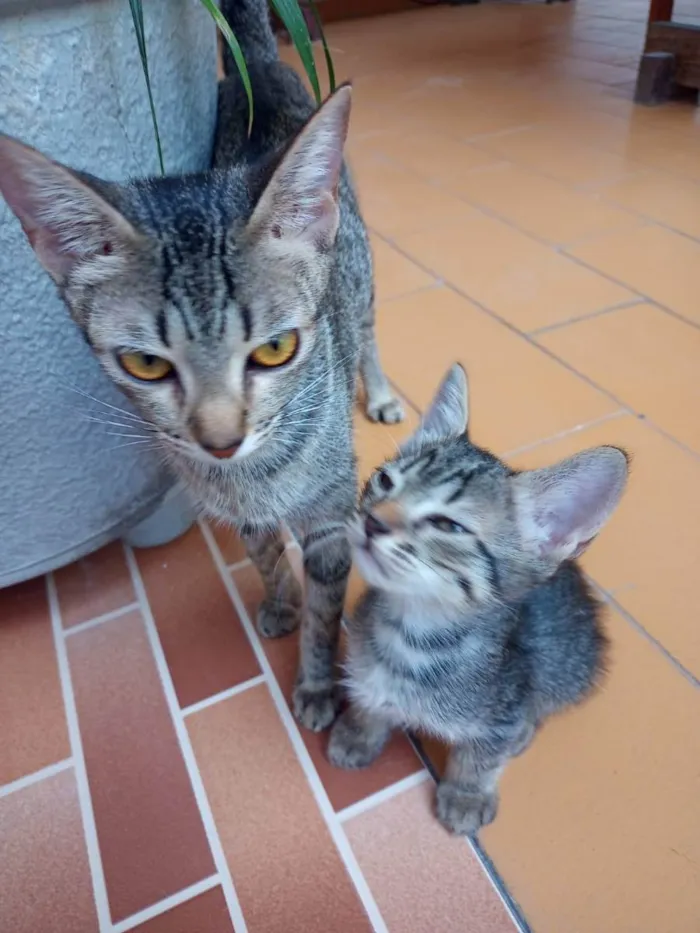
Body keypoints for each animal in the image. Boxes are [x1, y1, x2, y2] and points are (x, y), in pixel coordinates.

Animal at [0, 0, 402, 728]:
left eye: (275, 350)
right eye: (145, 364)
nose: (220, 441)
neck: (254, 475)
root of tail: (259, 63)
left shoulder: (332, 517)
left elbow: (327, 610)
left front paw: (316, 682)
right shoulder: (240, 510)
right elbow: (264, 553)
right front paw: (279, 601)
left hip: (356, 261)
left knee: (364, 324)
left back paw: (380, 389)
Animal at [330, 366, 628, 836]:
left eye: (447, 525)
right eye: (384, 481)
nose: (373, 520)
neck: (411, 640)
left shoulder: (506, 705)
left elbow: (483, 755)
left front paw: (467, 794)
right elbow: (368, 698)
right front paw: (358, 732)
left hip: (569, 665)